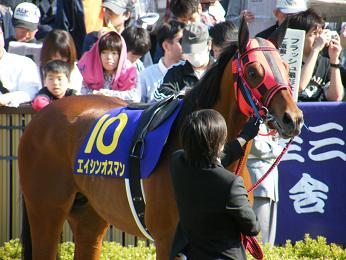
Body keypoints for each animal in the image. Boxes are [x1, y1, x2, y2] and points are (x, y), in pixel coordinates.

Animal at [18, 20, 302, 260]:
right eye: (254, 71)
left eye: (287, 67)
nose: (293, 118)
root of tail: (40, 118)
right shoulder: (166, 241)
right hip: (46, 213)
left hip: (89, 215)